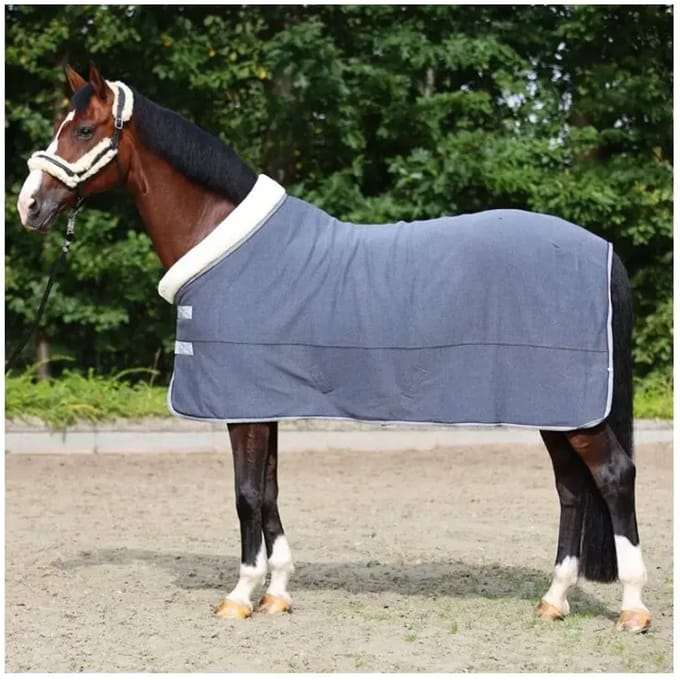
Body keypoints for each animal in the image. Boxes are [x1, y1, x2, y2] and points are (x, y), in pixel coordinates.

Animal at [17, 64, 651, 633]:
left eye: (82, 130)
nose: (28, 206)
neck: (226, 244)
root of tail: (603, 249)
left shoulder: (242, 405)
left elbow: (247, 495)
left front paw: (240, 596)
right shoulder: (261, 401)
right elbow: (270, 492)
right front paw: (277, 593)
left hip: (574, 412)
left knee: (614, 476)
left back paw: (633, 608)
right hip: (558, 412)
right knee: (572, 490)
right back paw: (554, 599)